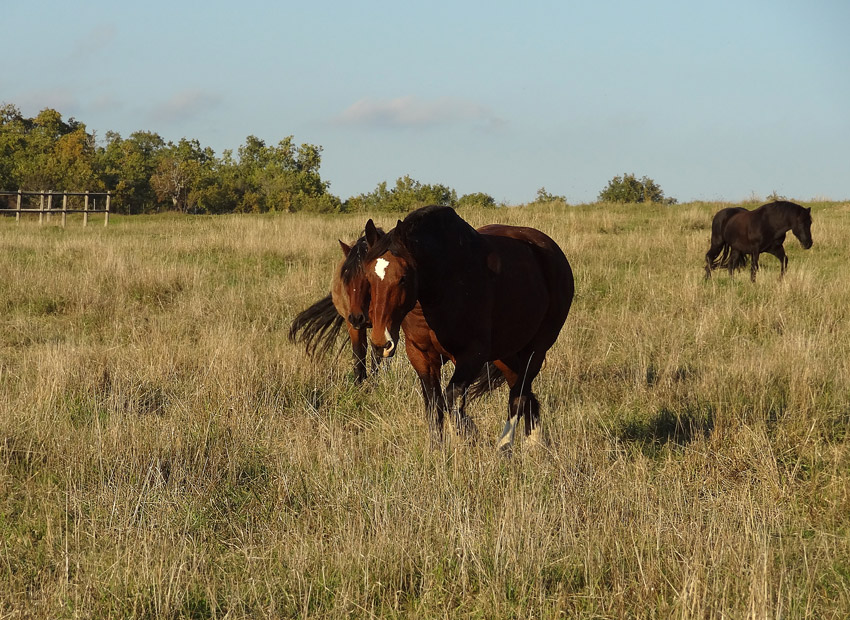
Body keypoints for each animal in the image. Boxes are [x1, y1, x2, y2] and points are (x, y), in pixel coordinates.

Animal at [354, 206, 572, 452]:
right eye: (368, 277)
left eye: (402, 278)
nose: (381, 342)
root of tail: (550, 251)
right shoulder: (421, 355)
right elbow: (435, 404)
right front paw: (437, 449)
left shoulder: (471, 356)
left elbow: (451, 398)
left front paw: (465, 434)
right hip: (504, 354)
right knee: (522, 388)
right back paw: (534, 441)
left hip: (536, 349)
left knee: (518, 394)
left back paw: (505, 446)